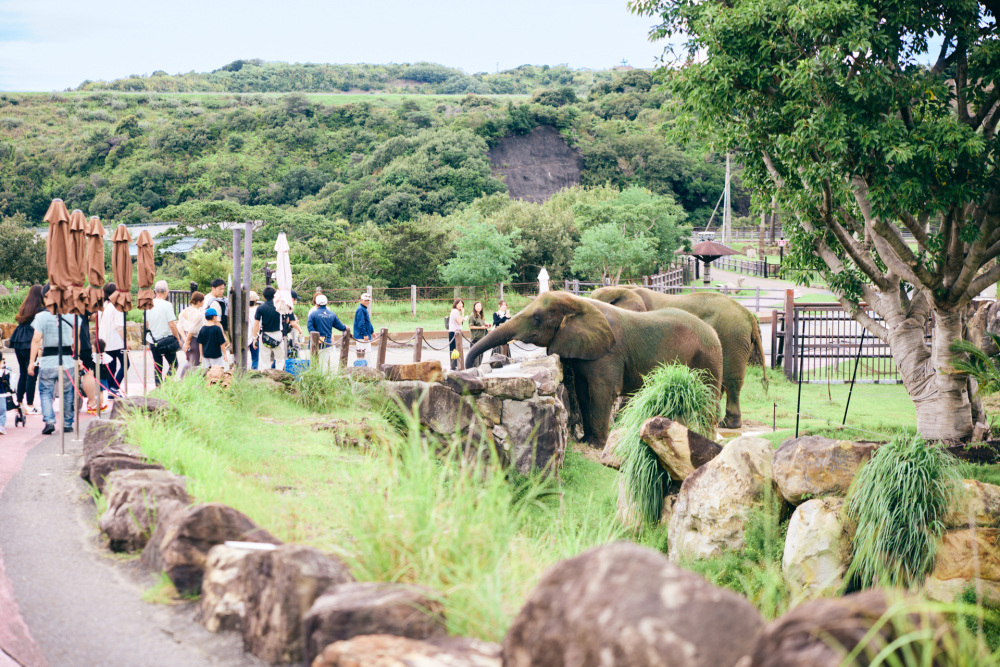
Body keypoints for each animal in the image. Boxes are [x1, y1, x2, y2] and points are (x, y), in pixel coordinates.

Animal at [464, 292, 724, 448]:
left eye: (537, 319)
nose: (469, 368)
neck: (580, 303)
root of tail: (714, 333)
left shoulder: (608, 352)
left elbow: (601, 391)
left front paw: (595, 445)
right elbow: (582, 390)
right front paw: (586, 440)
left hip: (708, 360)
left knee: (707, 401)